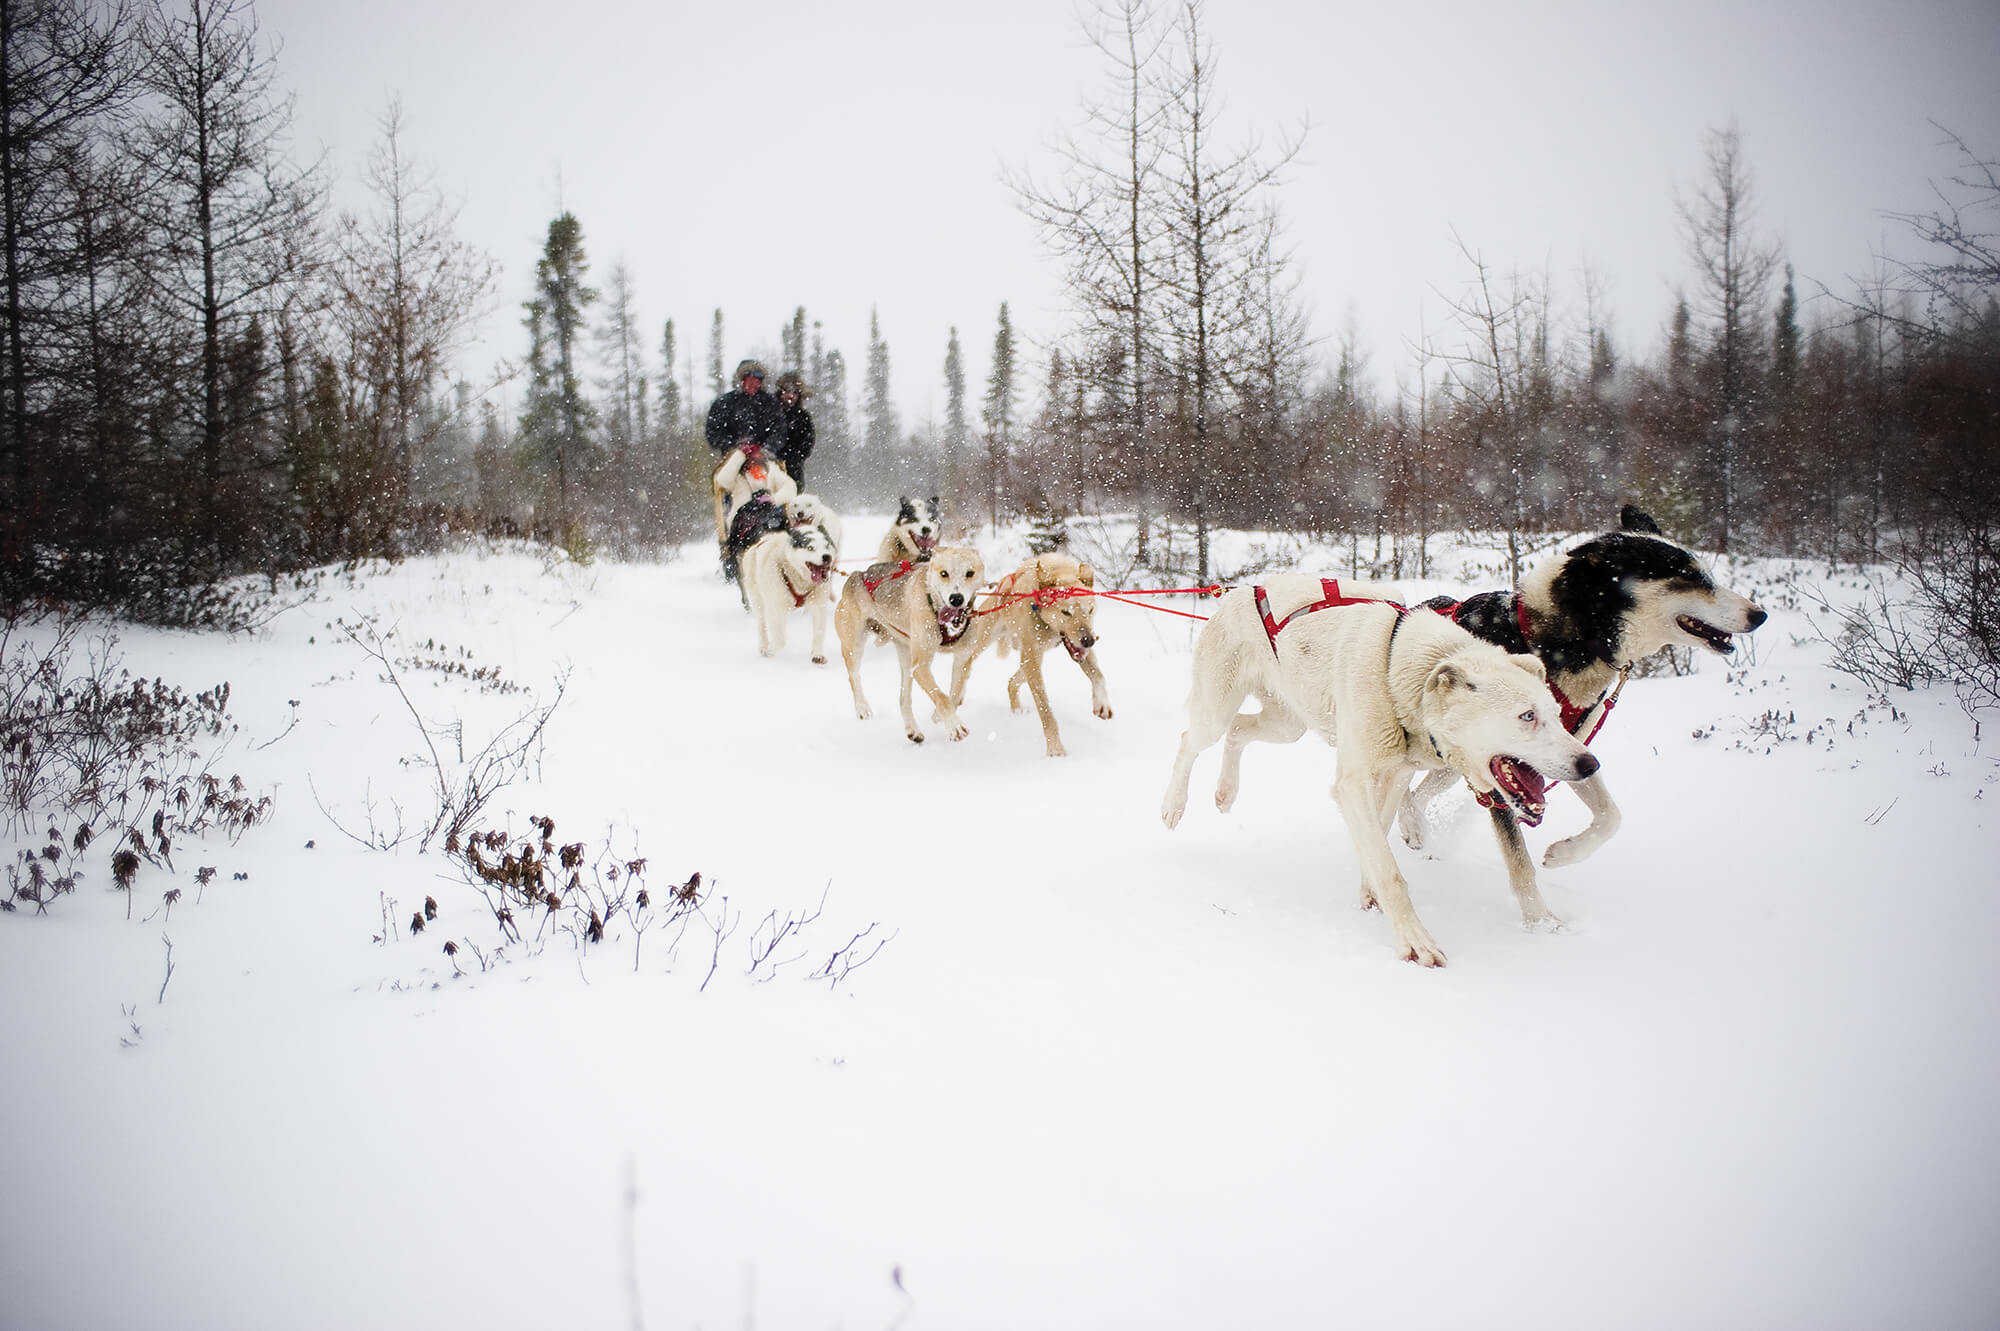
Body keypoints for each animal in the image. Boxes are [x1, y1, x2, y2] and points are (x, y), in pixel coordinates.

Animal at [744, 519, 836, 659]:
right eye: (810, 548)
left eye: (826, 546)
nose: (827, 557)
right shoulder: (776, 607)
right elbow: (780, 640)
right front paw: (772, 650)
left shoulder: (819, 604)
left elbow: (819, 632)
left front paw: (817, 654)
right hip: (759, 601)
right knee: (762, 625)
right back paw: (765, 647)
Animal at [832, 543, 988, 747]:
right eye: (944, 573)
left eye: (969, 573)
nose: (956, 598)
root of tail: (859, 574)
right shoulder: (920, 666)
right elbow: (941, 697)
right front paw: (954, 726)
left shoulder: (963, 658)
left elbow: (953, 695)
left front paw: (940, 715)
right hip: (855, 647)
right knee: (854, 677)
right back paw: (862, 707)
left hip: (906, 658)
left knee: (903, 699)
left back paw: (913, 730)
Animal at [948, 547, 1112, 755]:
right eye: (1066, 612)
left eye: (1089, 610)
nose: (1089, 641)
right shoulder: (1033, 656)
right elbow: (1045, 708)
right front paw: (1055, 749)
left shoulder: (1073, 647)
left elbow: (1098, 675)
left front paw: (1102, 703)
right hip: (989, 646)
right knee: (963, 669)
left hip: (1030, 660)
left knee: (1011, 682)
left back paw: (1016, 709)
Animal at [1168, 571, 1600, 963]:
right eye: (1527, 716)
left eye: (1557, 714)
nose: (1590, 762)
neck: (1395, 672)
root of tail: (1241, 590)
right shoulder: (1353, 783)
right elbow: (1390, 870)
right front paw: (1414, 939)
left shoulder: (1396, 774)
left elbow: (1380, 831)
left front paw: (1368, 891)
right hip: (1217, 711)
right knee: (1191, 738)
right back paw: (1173, 805)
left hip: (1287, 723)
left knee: (1239, 730)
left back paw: (1226, 793)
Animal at [1400, 503, 1776, 867]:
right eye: (1688, 575)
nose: (1760, 615)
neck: (1568, 640)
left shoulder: (1569, 747)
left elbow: (1611, 815)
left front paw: (1565, 854)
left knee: (1417, 794)